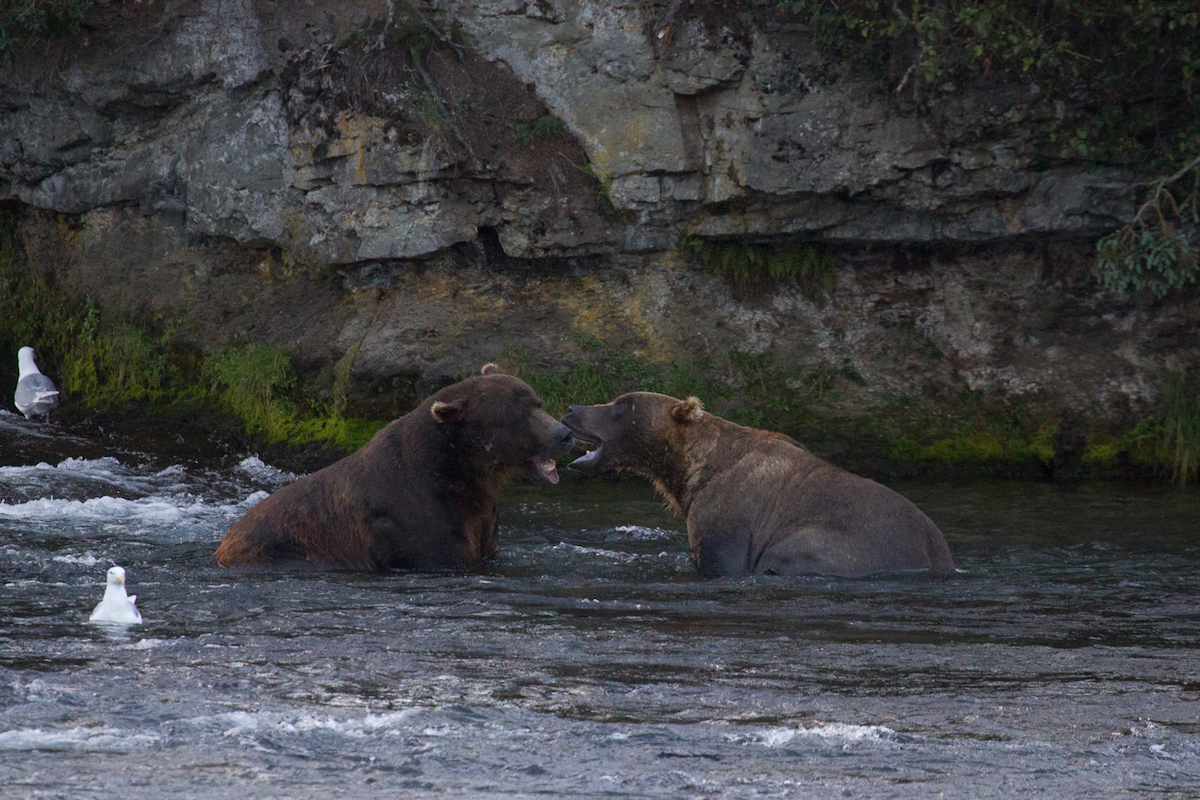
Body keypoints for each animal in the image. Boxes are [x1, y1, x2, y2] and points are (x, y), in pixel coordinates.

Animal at [217, 367, 576, 573]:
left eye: (537, 402)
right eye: (516, 415)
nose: (564, 433)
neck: (463, 472)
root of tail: (225, 543)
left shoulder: (482, 518)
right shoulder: (415, 520)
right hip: (284, 549)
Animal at [561, 393, 955, 575]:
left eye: (620, 406)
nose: (571, 408)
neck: (689, 471)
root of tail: (938, 551)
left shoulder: (728, 513)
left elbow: (721, 559)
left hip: (841, 544)